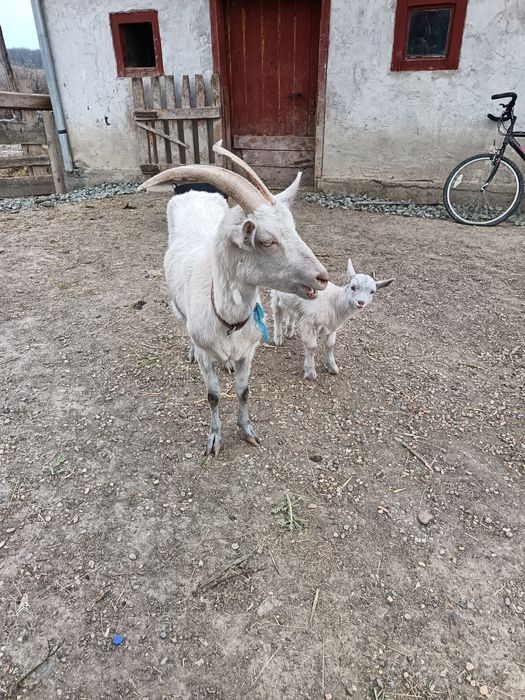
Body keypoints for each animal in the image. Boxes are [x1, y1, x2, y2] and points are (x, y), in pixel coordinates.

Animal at [138, 144, 328, 455]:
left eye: (294, 228)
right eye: (266, 240)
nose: (322, 277)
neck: (227, 319)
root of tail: (194, 190)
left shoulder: (248, 351)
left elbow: (243, 390)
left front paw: (247, 430)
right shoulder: (206, 354)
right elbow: (213, 395)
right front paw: (214, 439)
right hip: (179, 308)